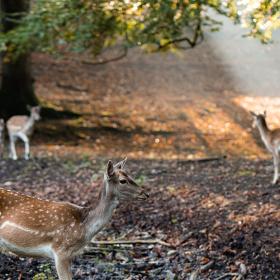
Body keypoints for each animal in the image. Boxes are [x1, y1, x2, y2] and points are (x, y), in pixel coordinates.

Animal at [0, 159, 149, 278]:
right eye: (123, 181)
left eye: (131, 175)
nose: (145, 193)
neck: (84, 227)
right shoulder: (61, 252)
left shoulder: (70, 255)